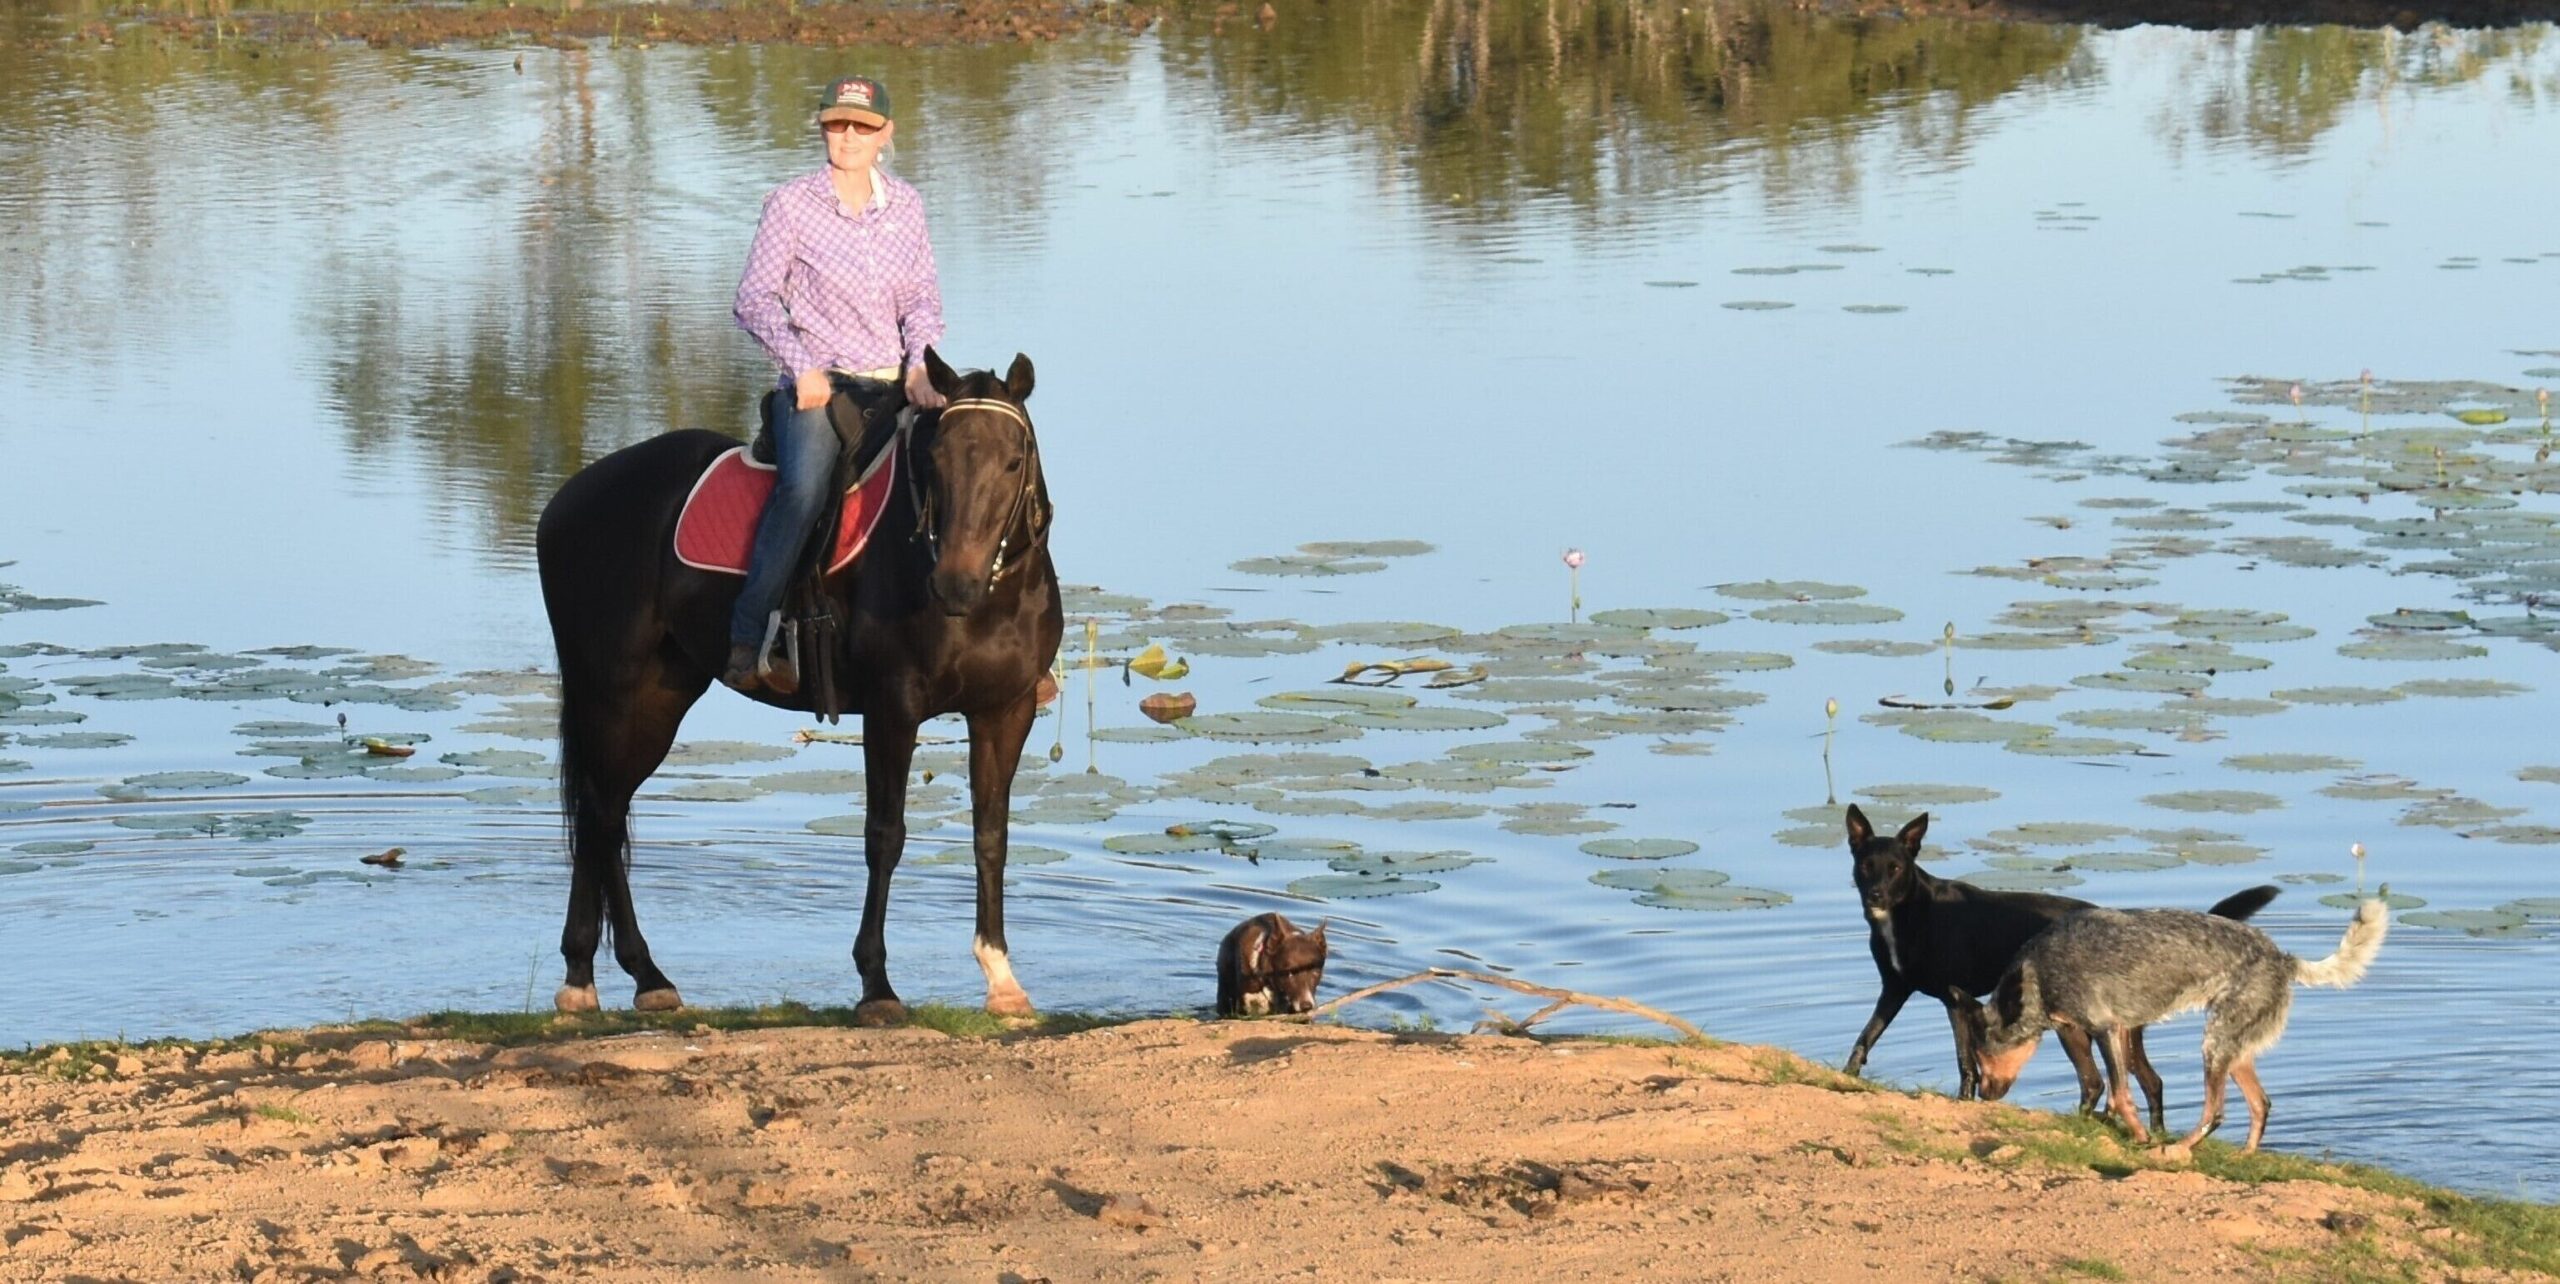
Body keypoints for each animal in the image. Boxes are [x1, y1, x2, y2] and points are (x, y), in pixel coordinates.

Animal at [540, 347, 1059, 1023]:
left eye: (1013, 459)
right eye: (937, 457)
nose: (955, 585)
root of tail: (568, 498)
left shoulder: (1005, 711)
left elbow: (990, 837)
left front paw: (1002, 979)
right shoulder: (894, 709)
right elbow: (885, 836)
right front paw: (877, 987)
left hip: (660, 696)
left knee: (604, 810)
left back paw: (624, 977)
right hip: (612, 690)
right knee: (600, 813)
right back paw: (603, 977)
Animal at [1843, 808, 2283, 1130]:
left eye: (1896, 868)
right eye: (1866, 866)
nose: (1875, 894)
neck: (1907, 913)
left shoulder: (1953, 1000)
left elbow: (1965, 1061)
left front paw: (1963, 1100)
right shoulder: (1895, 989)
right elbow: (1866, 1037)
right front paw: (1847, 1077)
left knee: (2141, 1081)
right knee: (2148, 1082)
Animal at [1955, 900, 2396, 1156]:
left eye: (1981, 1051)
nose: (1983, 1097)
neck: (2040, 972)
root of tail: (2283, 958)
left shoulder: (2106, 1029)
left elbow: (2119, 1092)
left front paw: (2140, 1137)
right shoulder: (2108, 1031)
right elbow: (2110, 1090)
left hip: (2214, 1046)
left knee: (2215, 1112)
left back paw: (2177, 1148)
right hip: (2233, 1048)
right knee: (2260, 1104)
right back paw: (2245, 1157)